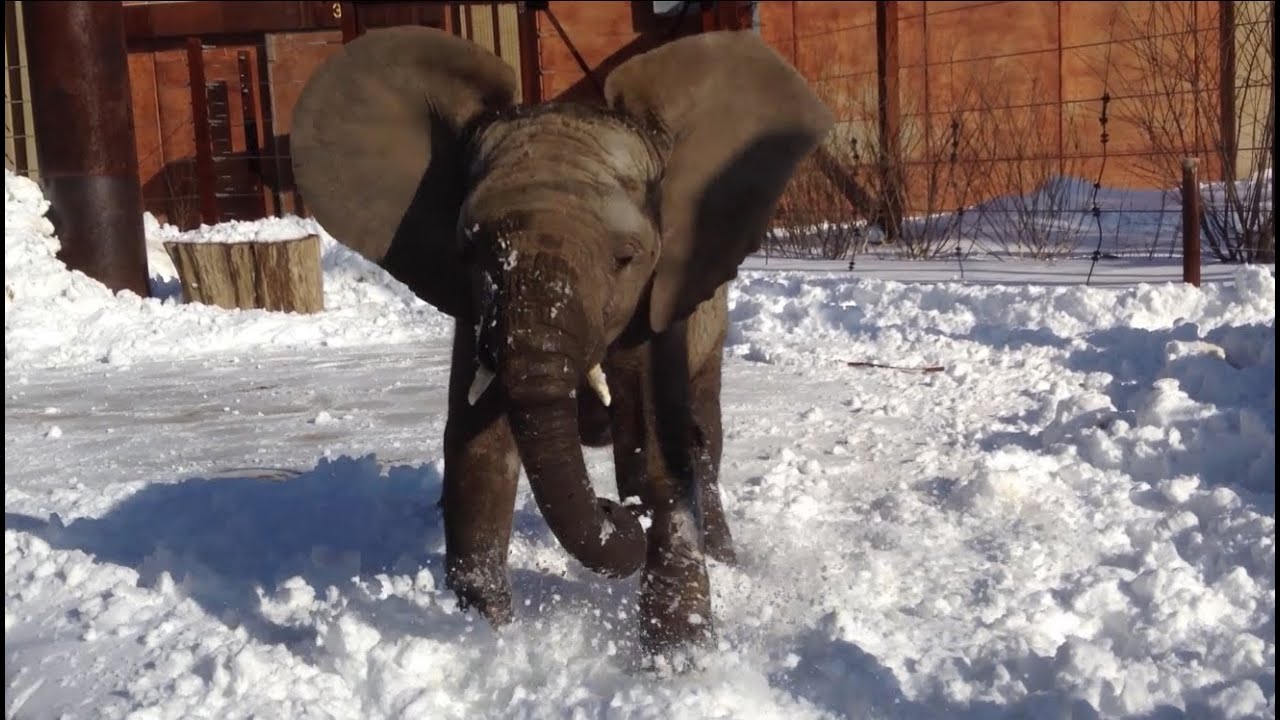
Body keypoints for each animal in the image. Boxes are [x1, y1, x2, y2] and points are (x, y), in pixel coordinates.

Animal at [290, 25, 833, 657]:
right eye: (469, 249)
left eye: (627, 258)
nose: (616, 512)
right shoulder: (476, 315)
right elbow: (479, 449)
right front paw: (484, 639)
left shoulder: (658, 304)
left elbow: (658, 451)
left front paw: (679, 659)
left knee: (702, 434)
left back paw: (724, 561)